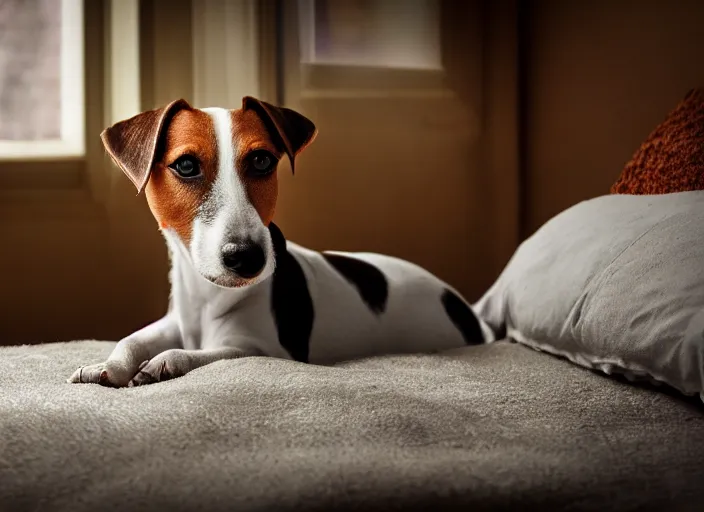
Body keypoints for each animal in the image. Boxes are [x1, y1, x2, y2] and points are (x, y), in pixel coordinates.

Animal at [69, 97, 492, 388]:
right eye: (186, 165)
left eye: (262, 161)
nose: (247, 258)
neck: (208, 298)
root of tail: (471, 313)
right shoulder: (173, 322)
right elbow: (131, 340)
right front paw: (108, 365)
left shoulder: (262, 349)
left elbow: (203, 355)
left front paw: (164, 362)